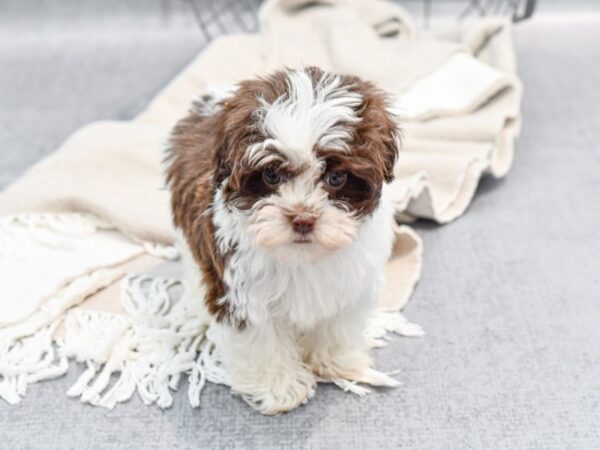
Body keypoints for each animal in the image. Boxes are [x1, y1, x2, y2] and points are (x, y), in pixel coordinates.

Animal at [166, 66, 400, 414]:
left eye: (336, 177)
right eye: (271, 176)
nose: (302, 218)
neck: (301, 256)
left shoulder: (351, 281)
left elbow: (338, 322)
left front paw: (334, 360)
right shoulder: (240, 289)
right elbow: (261, 340)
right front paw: (280, 387)